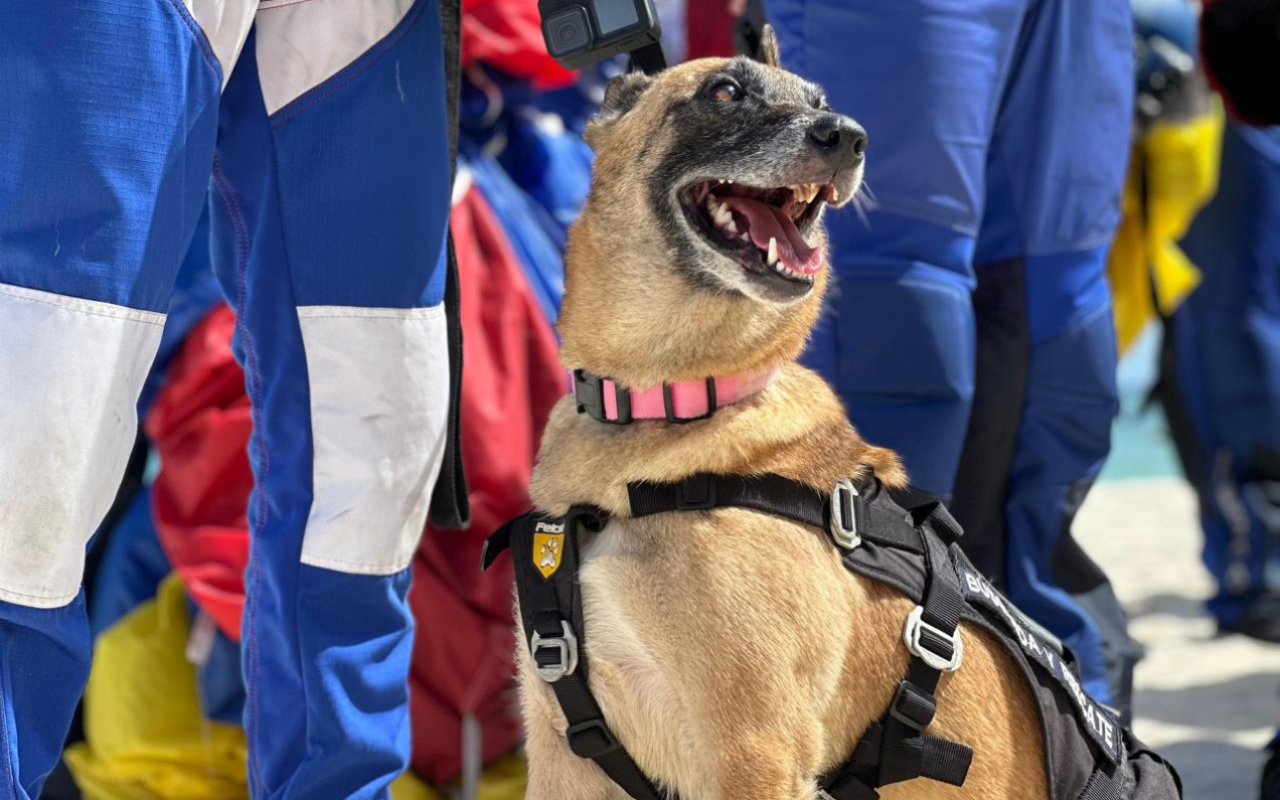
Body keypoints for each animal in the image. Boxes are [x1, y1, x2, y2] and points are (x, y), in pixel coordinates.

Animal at [514, 31, 1044, 798]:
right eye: (725, 91)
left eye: (821, 100)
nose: (849, 137)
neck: (664, 406)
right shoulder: (563, 756)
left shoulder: (753, 749)